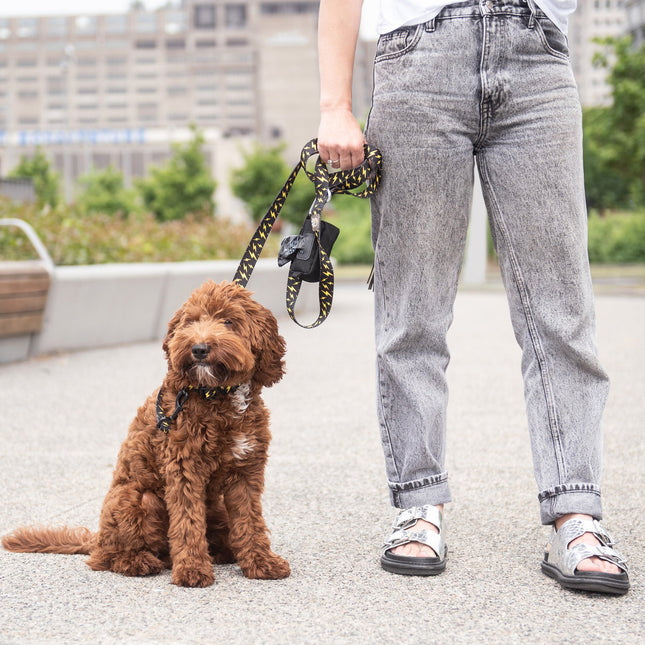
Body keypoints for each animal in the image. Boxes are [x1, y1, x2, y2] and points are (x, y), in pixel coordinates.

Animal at [2, 280, 290, 588]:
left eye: (228, 321)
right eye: (191, 322)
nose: (199, 349)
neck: (217, 394)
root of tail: (97, 539)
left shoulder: (246, 470)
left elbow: (251, 521)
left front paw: (261, 562)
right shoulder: (184, 469)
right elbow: (187, 523)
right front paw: (192, 570)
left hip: (215, 507)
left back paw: (222, 551)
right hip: (138, 499)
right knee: (108, 558)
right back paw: (139, 561)